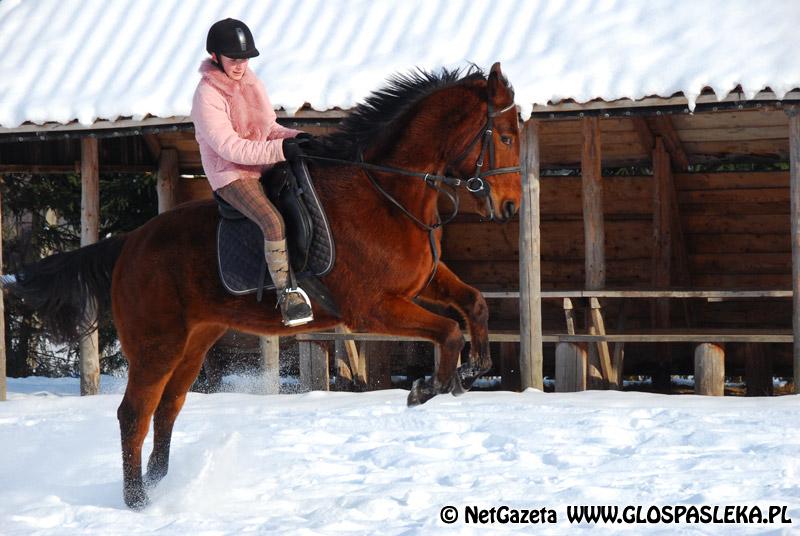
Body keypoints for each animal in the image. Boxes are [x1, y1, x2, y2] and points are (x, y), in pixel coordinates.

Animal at [12, 60, 524, 508]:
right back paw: (137, 500)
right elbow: (449, 331)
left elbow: (475, 305)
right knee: (134, 414)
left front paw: (475, 369)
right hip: (157, 345)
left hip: (194, 342)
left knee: (167, 407)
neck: (386, 193)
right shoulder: (373, 308)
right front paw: (428, 387)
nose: (512, 207)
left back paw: (160, 485)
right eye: (504, 136)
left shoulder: (424, 281)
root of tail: (129, 244)